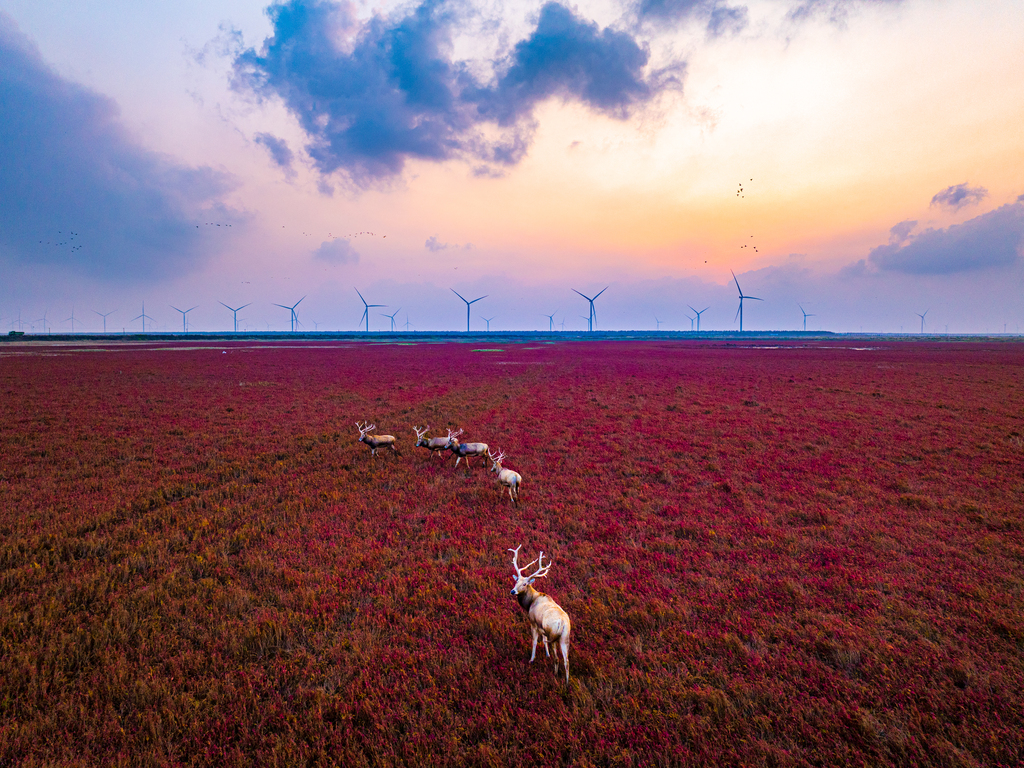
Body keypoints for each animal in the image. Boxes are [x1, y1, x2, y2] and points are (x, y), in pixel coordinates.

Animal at [507, 548, 573, 684]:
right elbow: (543, 639)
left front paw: (532, 659)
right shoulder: (542, 626)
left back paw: (555, 674)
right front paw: (546, 654)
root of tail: (563, 624)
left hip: (554, 636)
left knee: (557, 658)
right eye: (516, 581)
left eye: (525, 584)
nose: (512, 591)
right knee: (566, 661)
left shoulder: (533, 621)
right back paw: (567, 682)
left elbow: (534, 641)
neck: (529, 603)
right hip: (565, 638)